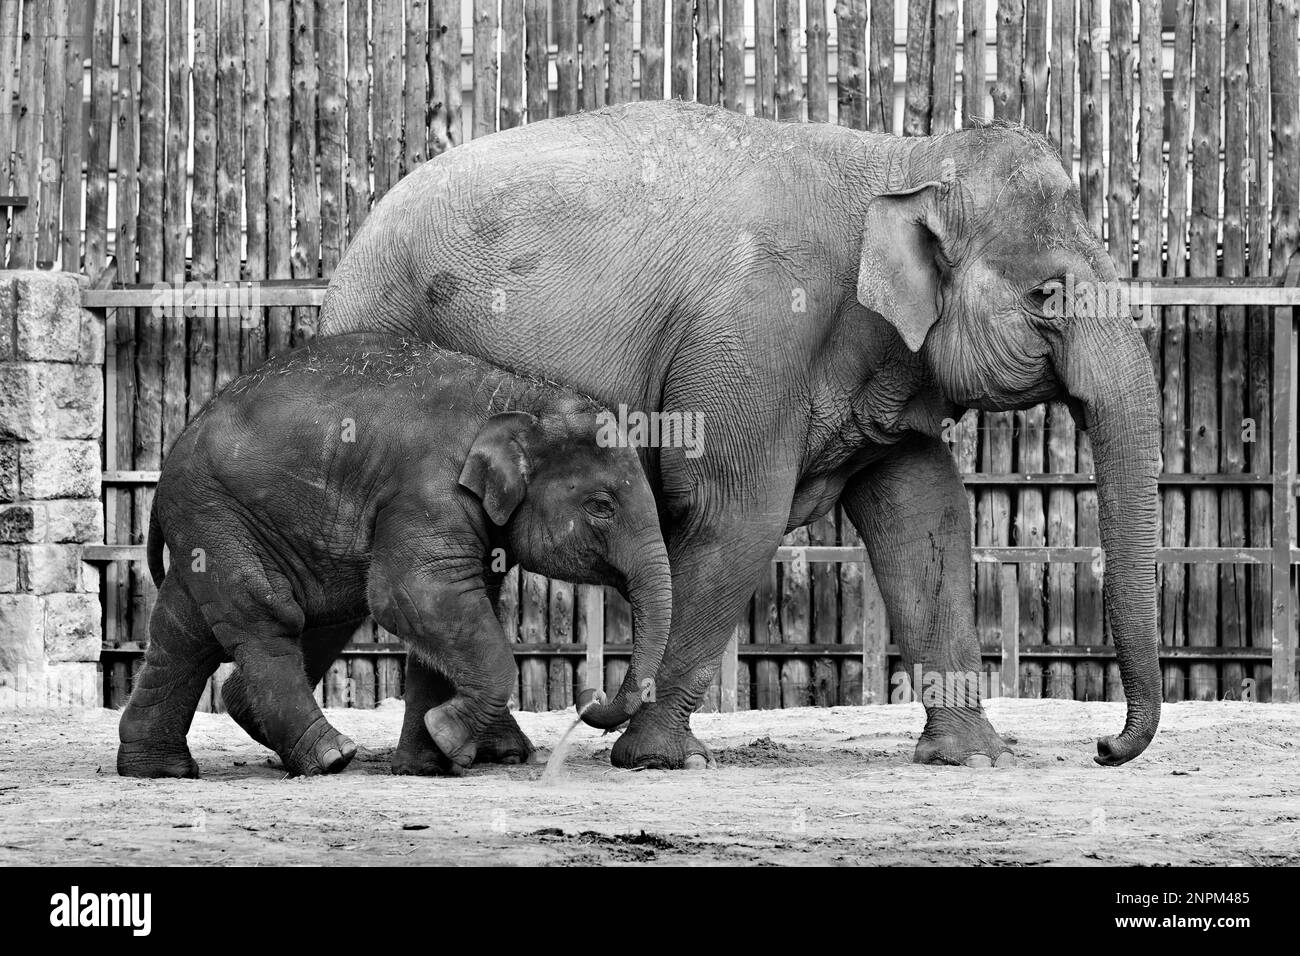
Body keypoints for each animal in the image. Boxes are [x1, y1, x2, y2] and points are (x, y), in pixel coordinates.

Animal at [116, 333, 673, 778]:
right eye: (602, 506)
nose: (590, 697)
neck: (520, 394)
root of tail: (173, 450)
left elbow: (448, 610)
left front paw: (430, 763)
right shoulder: (429, 492)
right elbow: (414, 594)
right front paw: (447, 737)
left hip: (207, 524)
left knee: (185, 631)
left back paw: (159, 769)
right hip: (217, 512)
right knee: (264, 615)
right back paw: (330, 757)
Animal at [319, 100, 1162, 770]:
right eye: (1047, 295)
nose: (1103, 747)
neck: (900, 159)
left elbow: (929, 517)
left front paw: (974, 759)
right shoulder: (754, 332)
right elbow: (738, 516)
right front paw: (664, 760)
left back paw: (472, 753)